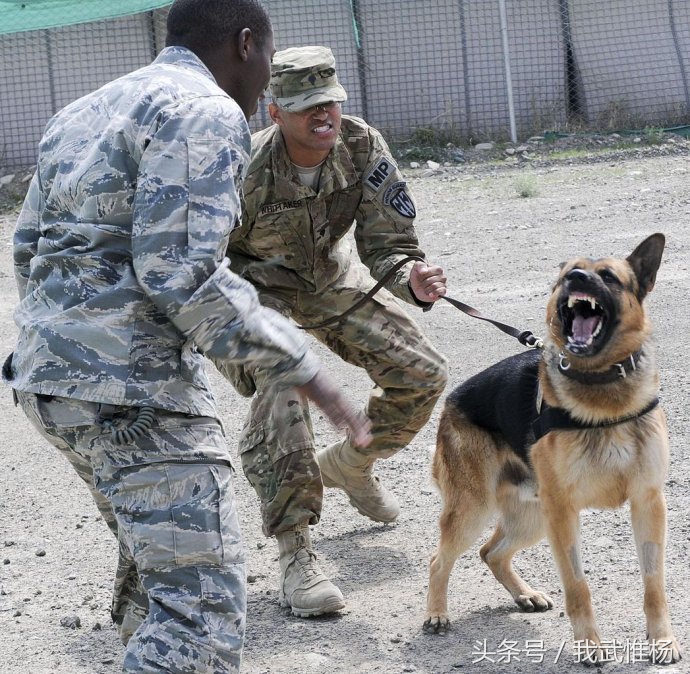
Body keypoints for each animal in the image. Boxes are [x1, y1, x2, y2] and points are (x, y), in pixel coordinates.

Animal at [422, 234, 680, 664]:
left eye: (608, 276)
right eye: (566, 275)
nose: (576, 278)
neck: (601, 393)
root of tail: (451, 399)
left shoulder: (648, 503)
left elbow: (654, 584)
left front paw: (662, 640)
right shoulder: (564, 512)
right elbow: (578, 587)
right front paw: (589, 645)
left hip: (533, 516)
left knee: (491, 552)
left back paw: (524, 595)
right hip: (478, 510)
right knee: (439, 558)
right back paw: (437, 614)